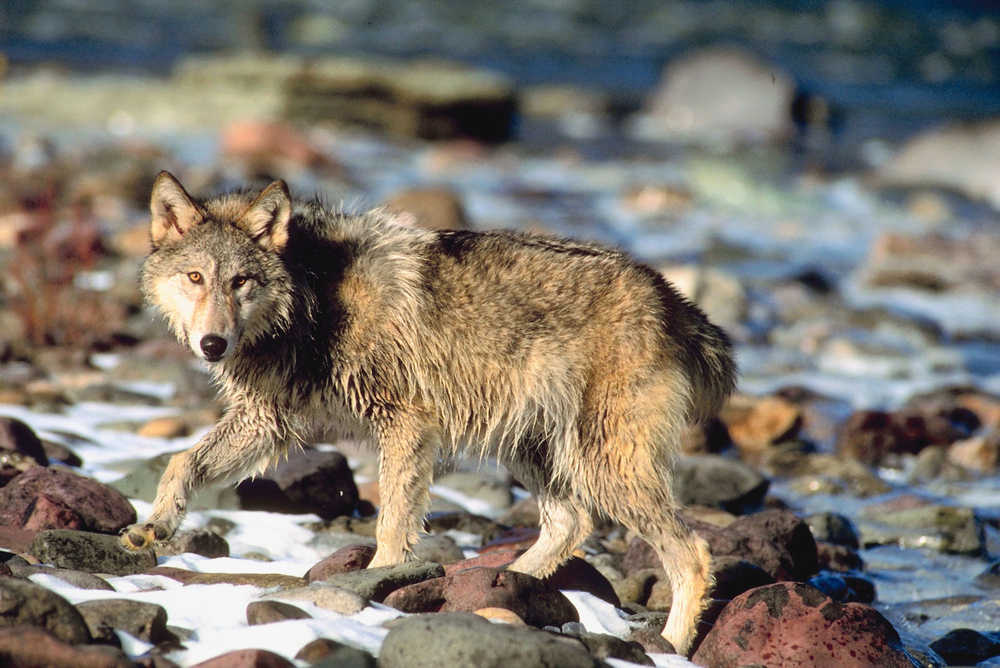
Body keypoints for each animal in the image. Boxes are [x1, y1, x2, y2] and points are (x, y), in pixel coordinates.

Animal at [122, 171, 736, 654]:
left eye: (240, 281)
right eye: (195, 278)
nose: (212, 345)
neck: (312, 299)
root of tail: (670, 298)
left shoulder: (406, 424)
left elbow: (393, 522)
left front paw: (376, 586)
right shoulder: (269, 422)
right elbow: (182, 462)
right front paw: (156, 524)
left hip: (605, 466)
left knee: (691, 554)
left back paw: (668, 645)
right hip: (534, 450)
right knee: (571, 523)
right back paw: (497, 586)